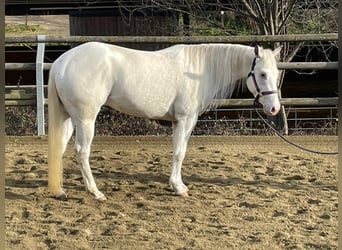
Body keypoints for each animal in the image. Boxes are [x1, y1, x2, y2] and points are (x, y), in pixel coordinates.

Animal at [48, 42, 284, 200]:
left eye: (276, 73)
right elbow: (179, 153)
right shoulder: (185, 119)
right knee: (82, 152)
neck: (199, 70)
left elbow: (180, 151)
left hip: (68, 117)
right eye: (262, 74)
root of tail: (62, 61)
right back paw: (95, 191)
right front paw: (178, 188)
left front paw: (178, 184)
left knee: (59, 147)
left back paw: (59, 190)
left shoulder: (182, 122)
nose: (273, 108)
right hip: (86, 119)